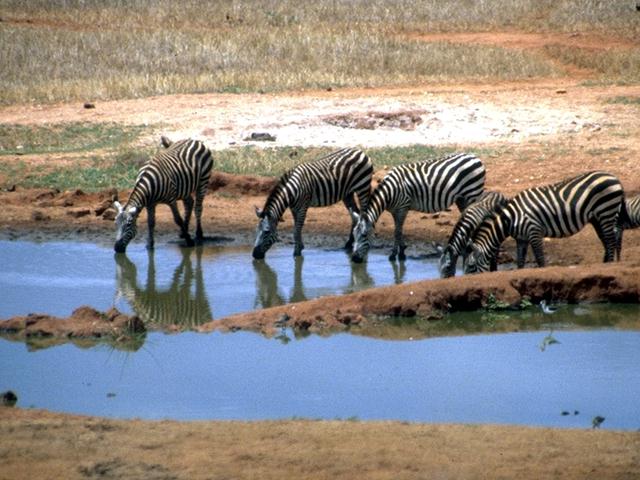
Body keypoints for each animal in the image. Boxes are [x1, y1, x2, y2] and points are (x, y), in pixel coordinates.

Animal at [350, 152, 486, 263]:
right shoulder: (395, 211)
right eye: (354, 235)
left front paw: (395, 255)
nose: (354, 259)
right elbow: (398, 230)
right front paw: (401, 251)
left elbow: (397, 231)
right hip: (462, 199)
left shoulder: (403, 208)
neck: (389, 193)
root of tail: (475, 157)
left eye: (364, 235)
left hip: (472, 194)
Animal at [464, 171, 625, 274]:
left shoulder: (534, 231)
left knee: (610, 240)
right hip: (597, 218)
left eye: (471, 267)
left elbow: (540, 259)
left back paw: (609, 265)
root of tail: (615, 178)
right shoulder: (521, 239)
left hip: (606, 212)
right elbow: (520, 262)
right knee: (606, 240)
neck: (511, 218)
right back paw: (604, 263)